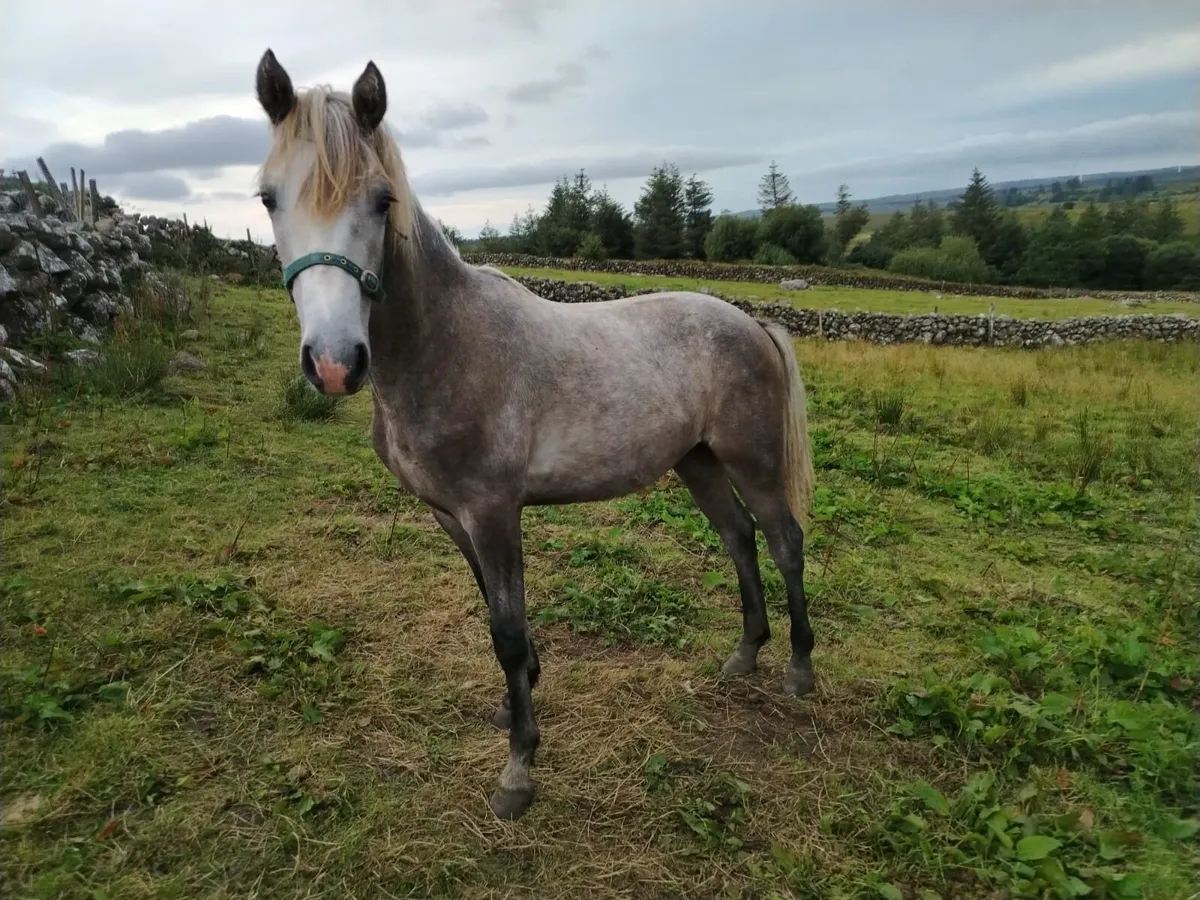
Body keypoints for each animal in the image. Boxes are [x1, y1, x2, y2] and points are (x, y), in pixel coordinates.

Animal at [253, 49, 818, 822]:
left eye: (381, 200)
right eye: (268, 199)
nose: (335, 363)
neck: (447, 344)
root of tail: (750, 322)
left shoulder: (493, 512)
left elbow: (508, 633)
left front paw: (519, 769)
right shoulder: (450, 515)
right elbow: (495, 612)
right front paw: (513, 711)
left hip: (750, 459)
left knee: (783, 540)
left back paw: (798, 667)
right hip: (697, 462)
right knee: (737, 537)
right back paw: (744, 655)